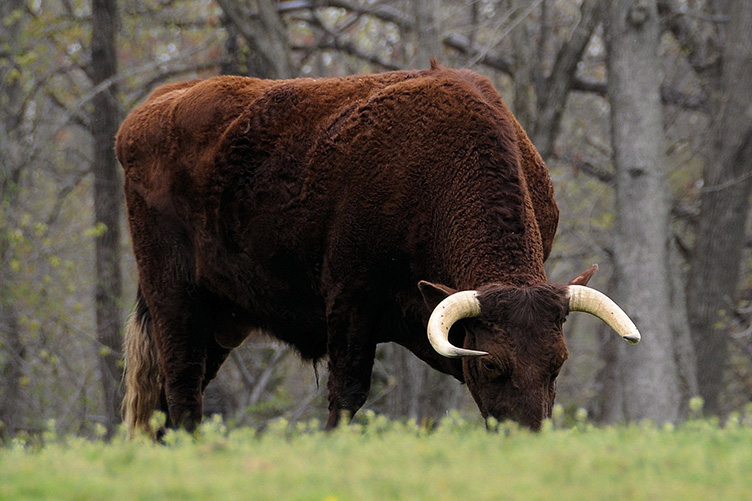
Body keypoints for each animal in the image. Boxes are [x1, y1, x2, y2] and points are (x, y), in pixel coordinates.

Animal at [117, 61, 639, 437]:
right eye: (493, 362)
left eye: (559, 363)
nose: (529, 440)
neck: (437, 171)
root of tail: (153, 107)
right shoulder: (351, 302)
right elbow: (347, 394)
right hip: (174, 298)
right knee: (181, 390)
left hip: (223, 319)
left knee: (167, 400)